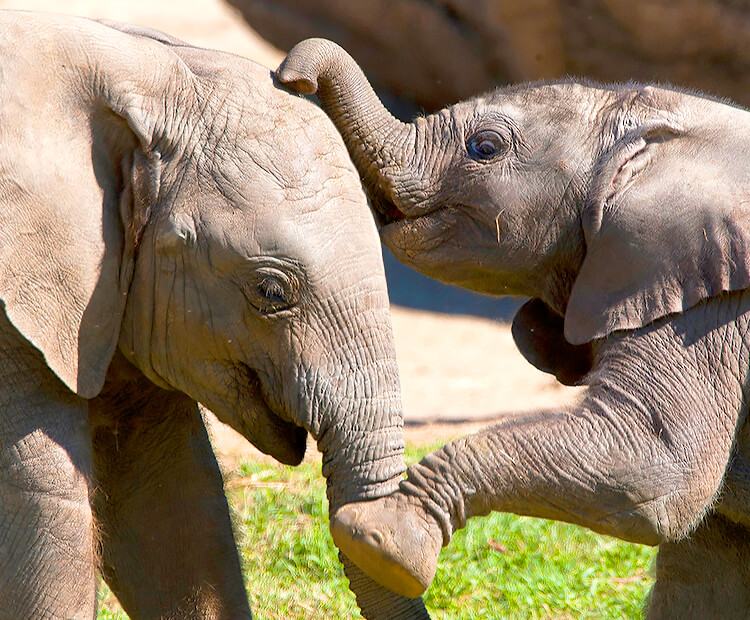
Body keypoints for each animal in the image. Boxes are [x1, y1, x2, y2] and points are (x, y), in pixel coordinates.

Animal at [278, 37, 750, 616]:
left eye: (485, 147)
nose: (289, 76)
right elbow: (701, 570)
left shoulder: (709, 303)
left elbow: (657, 468)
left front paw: (380, 541)